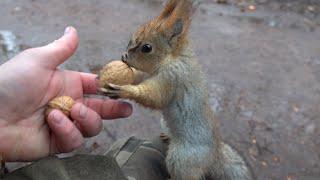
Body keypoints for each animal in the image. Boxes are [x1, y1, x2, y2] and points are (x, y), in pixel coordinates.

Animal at [99, 0, 252, 179]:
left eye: (147, 48)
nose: (124, 57)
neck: (171, 57)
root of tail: (214, 157)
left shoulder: (173, 77)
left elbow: (156, 97)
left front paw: (125, 90)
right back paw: (168, 136)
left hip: (181, 158)